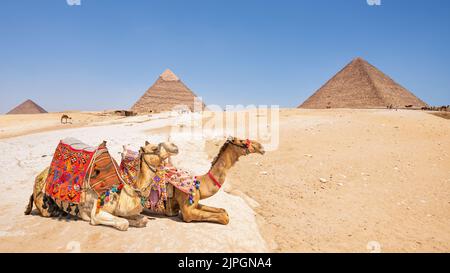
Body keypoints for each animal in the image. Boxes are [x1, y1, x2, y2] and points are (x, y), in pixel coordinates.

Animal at [24, 140, 178, 230]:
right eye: (155, 148)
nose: (175, 146)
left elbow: (142, 220)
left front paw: (137, 220)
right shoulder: (97, 212)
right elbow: (123, 223)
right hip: (45, 204)